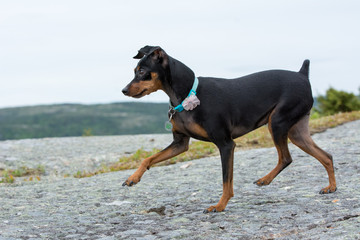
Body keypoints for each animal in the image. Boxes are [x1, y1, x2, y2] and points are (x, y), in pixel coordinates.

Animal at [121, 45, 338, 212]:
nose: (123, 90)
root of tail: (302, 75)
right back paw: (331, 187)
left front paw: (219, 205)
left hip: (277, 122)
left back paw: (266, 179)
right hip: (296, 132)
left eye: (142, 71)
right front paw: (133, 178)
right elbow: (148, 159)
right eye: (134, 70)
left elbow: (226, 181)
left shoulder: (225, 145)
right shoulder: (180, 144)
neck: (188, 94)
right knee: (326, 156)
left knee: (286, 157)